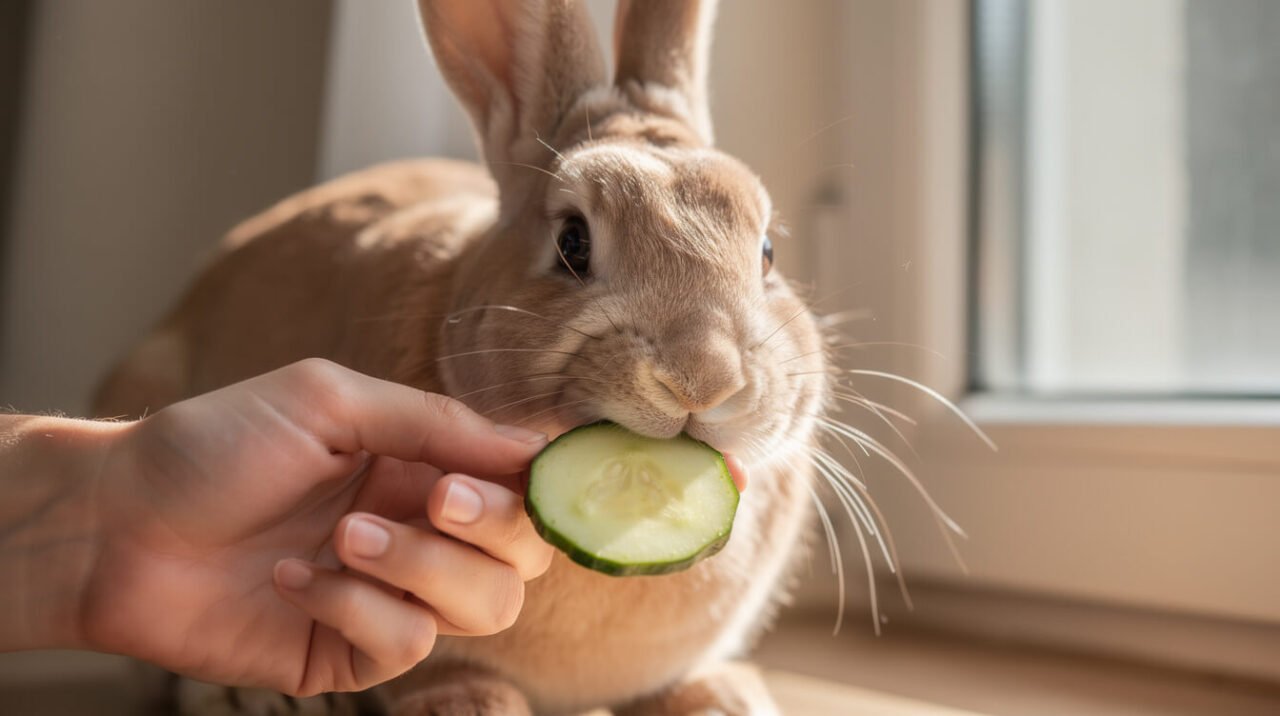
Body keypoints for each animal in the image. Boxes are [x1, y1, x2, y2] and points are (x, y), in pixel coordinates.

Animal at [93, 0, 830, 714]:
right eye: (572, 243)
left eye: (768, 252)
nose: (703, 381)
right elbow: (447, 683)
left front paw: (726, 700)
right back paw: (247, 697)